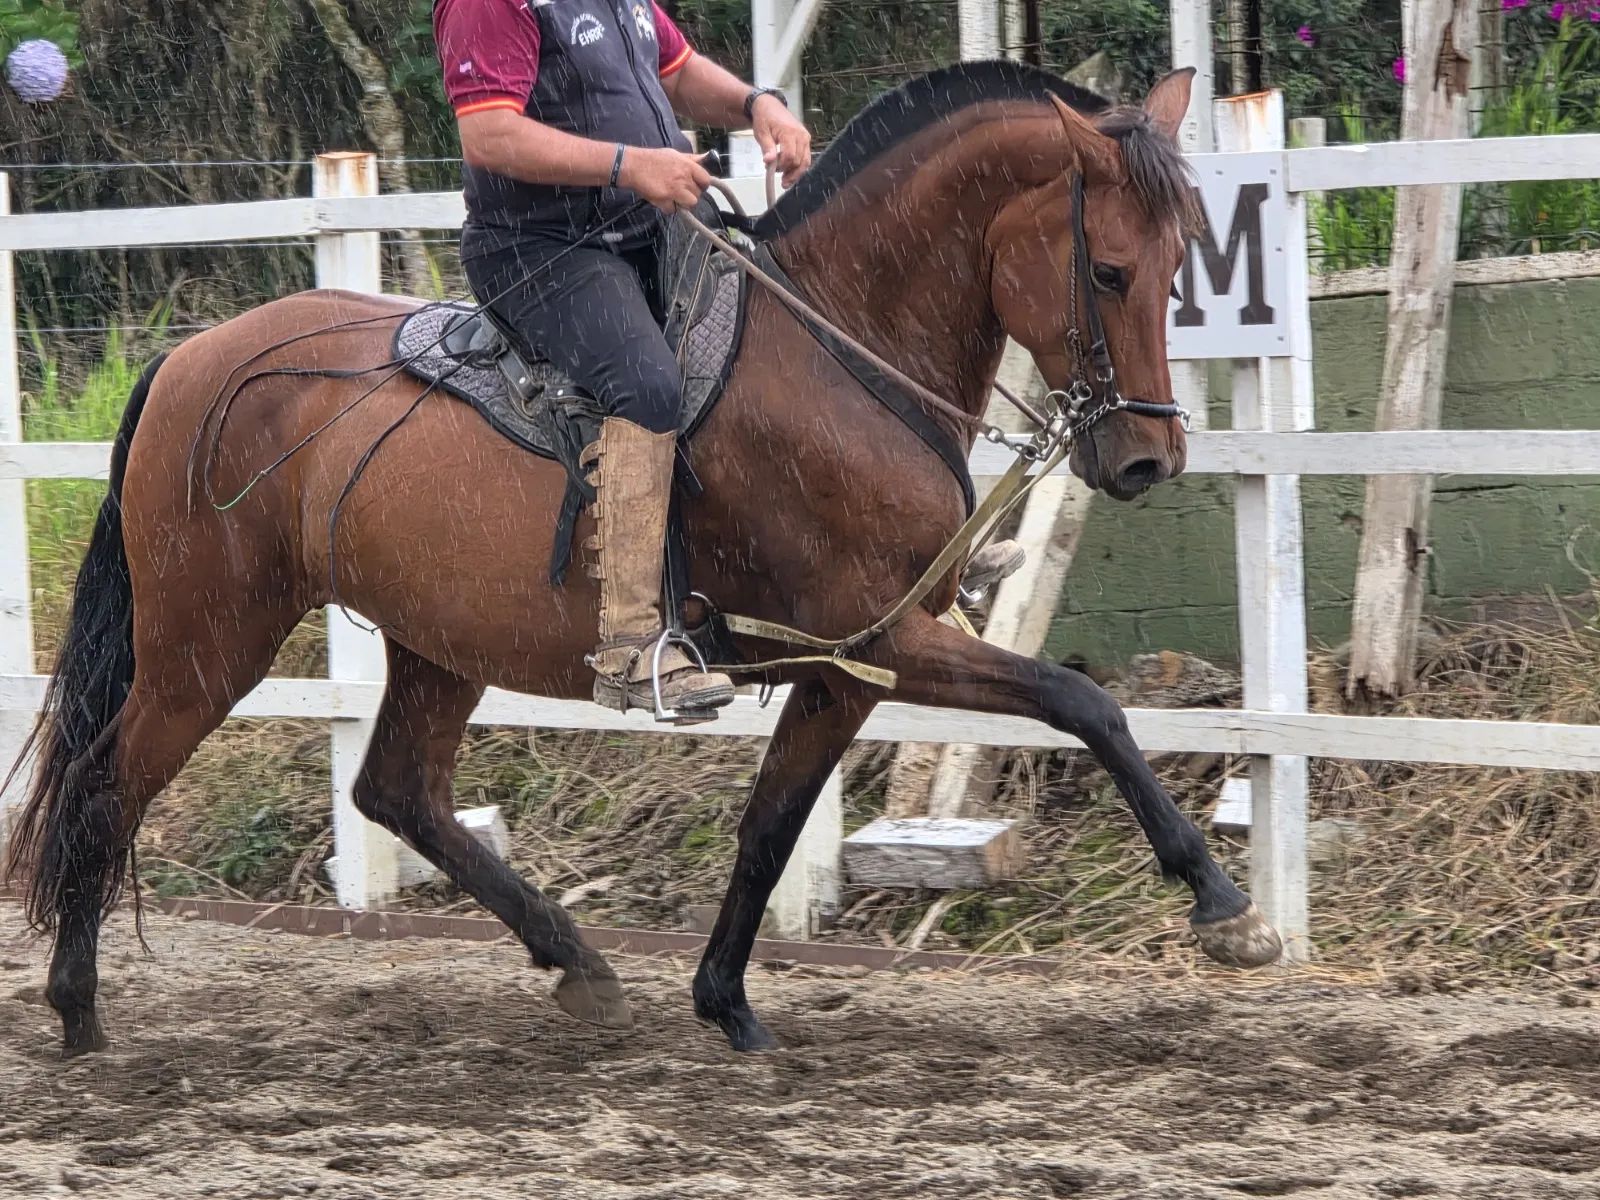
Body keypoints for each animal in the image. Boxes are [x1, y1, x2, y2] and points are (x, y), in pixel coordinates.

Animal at [4, 61, 1282, 1060]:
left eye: (1182, 259)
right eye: (1108, 269)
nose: (1146, 457)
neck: (838, 353)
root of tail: (189, 361)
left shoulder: (842, 667)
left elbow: (771, 827)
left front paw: (726, 1003)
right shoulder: (884, 640)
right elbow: (1082, 702)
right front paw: (1221, 902)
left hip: (435, 640)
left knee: (396, 791)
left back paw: (576, 961)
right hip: (206, 641)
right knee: (109, 785)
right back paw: (77, 1009)